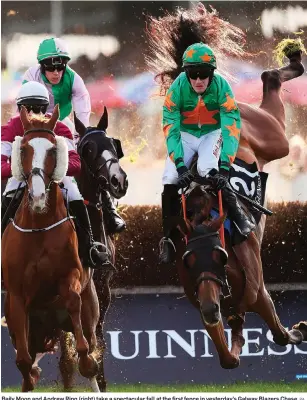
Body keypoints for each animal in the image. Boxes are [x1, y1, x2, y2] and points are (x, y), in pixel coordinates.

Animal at [1, 105, 101, 390]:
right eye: (23, 149)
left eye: (54, 150)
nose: (37, 196)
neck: (38, 228)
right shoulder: (16, 298)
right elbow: (24, 364)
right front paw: (30, 373)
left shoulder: (72, 278)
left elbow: (85, 354)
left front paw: (84, 361)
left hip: (90, 309)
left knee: (90, 349)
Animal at [147, 2, 306, 368]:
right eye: (189, 260)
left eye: (220, 256)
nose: (210, 307)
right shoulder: (208, 305)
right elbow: (227, 357)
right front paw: (236, 335)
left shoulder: (258, 292)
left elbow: (279, 334)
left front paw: (297, 329)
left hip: (269, 135)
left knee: (269, 82)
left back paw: (293, 57)